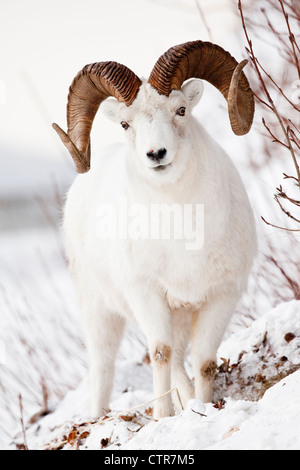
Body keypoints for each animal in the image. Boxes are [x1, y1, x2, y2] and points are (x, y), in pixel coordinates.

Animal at [52, 38, 256, 416]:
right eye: (125, 124)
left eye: (181, 110)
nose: (156, 154)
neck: (185, 234)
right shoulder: (147, 295)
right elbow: (161, 354)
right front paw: (163, 418)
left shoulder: (221, 297)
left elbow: (204, 362)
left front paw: (203, 408)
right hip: (101, 312)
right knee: (106, 367)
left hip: (177, 316)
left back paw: (189, 402)